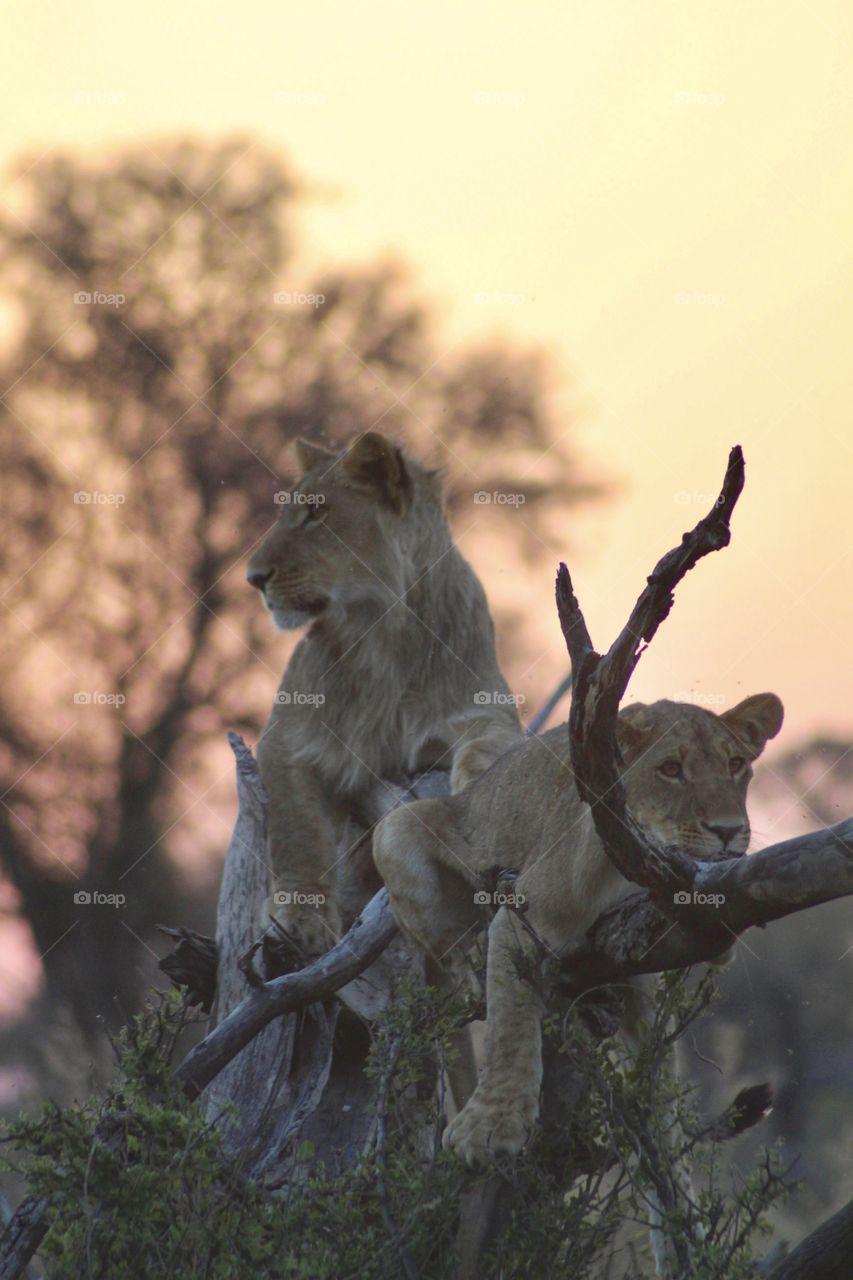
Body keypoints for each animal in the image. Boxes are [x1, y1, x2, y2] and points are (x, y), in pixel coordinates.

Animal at [245, 430, 522, 962]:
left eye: (316, 513)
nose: (253, 577)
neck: (382, 632)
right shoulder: (287, 737)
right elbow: (296, 830)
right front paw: (300, 919)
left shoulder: (485, 709)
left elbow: (488, 745)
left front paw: (473, 792)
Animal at [376, 691, 778, 1172]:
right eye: (670, 769)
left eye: (735, 764)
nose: (728, 831)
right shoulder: (522, 916)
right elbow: (509, 1026)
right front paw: (490, 1126)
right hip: (395, 830)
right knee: (456, 960)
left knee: (661, 1108)